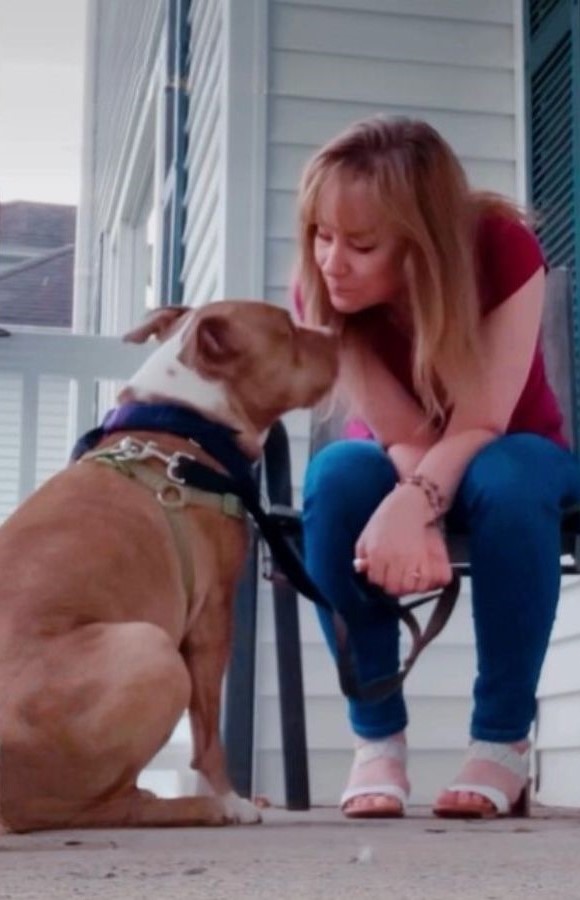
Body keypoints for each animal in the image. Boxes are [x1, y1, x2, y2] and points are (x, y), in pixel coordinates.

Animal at [0, 300, 338, 828]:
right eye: (287, 329)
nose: (337, 334)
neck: (185, 423)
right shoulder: (212, 619)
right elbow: (208, 730)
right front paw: (229, 796)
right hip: (152, 650)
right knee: (102, 807)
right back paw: (201, 807)